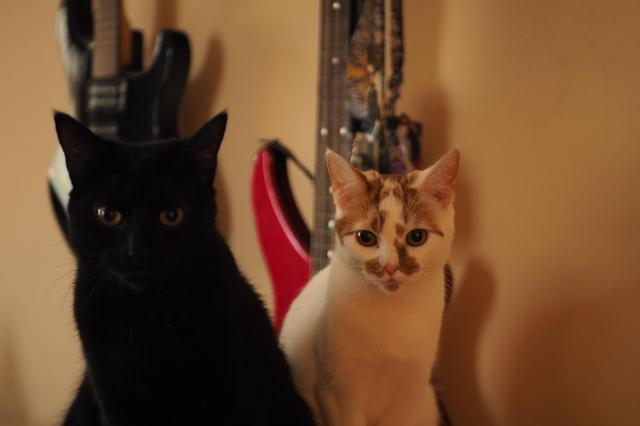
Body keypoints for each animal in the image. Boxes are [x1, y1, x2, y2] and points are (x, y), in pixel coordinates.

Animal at [282, 148, 460, 424]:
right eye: (365, 237)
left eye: (416, 237)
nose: (389, 267)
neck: (392, 313)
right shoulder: (340, 393)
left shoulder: (411, 391)